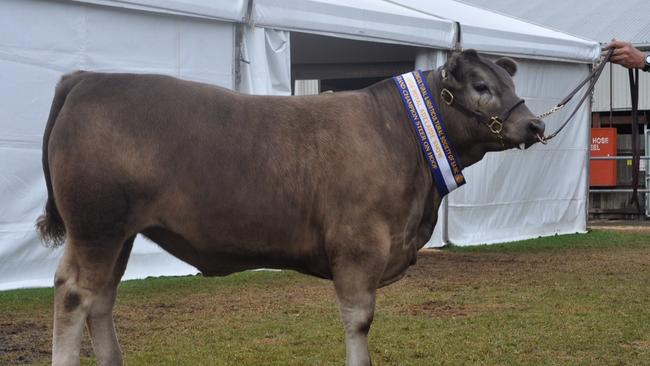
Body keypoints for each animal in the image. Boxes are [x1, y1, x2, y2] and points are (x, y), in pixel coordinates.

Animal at [36, 49, 540, 366]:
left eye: (511, 80)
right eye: (481, 85)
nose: (534, 124)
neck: (402, 133)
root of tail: (88, 79)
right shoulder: (359, 246)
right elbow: (359, 321)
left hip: (117, 233)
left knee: (101, 299)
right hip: (97, 226)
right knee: (75, 293)